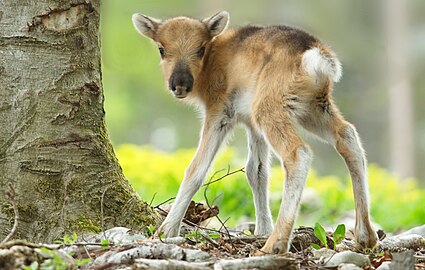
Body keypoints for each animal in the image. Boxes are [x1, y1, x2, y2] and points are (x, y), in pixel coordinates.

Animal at [131, 10, 376, 254]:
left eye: (201, 48)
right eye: (161, 49)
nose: (180, 84)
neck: (209, 67)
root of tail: (317, 57)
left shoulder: (219, 113)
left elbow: (196, 169)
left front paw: (165, 231)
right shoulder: (251, 124)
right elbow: (256, 171)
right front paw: (262, 229)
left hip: (270, 108)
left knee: (299, 153)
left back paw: (275, 244)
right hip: (314, 108)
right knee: (348, 135)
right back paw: (365, 236)